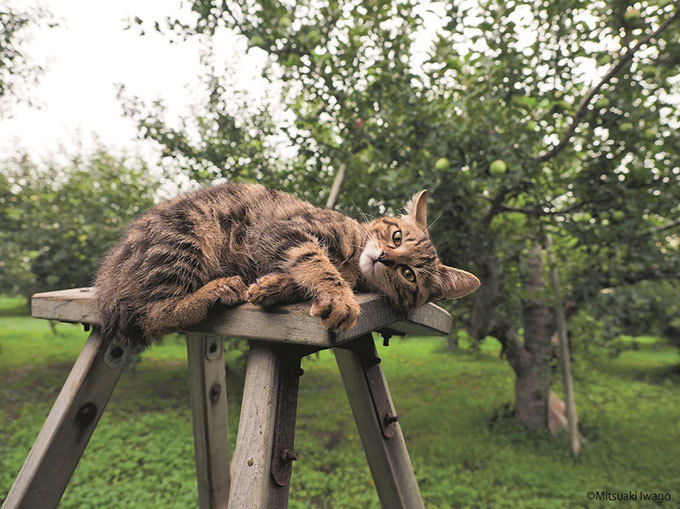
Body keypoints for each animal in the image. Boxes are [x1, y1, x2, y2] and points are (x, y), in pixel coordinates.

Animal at [94, 182, 478, 346]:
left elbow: (296, 273)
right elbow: (316, 261)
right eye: (396, 237)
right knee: (153, 314)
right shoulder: (287, 231)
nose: (383, 257)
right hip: (186, 238)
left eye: (409, 274)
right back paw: (216, 289)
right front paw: (339, 296)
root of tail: (107, 280)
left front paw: (273, 287)